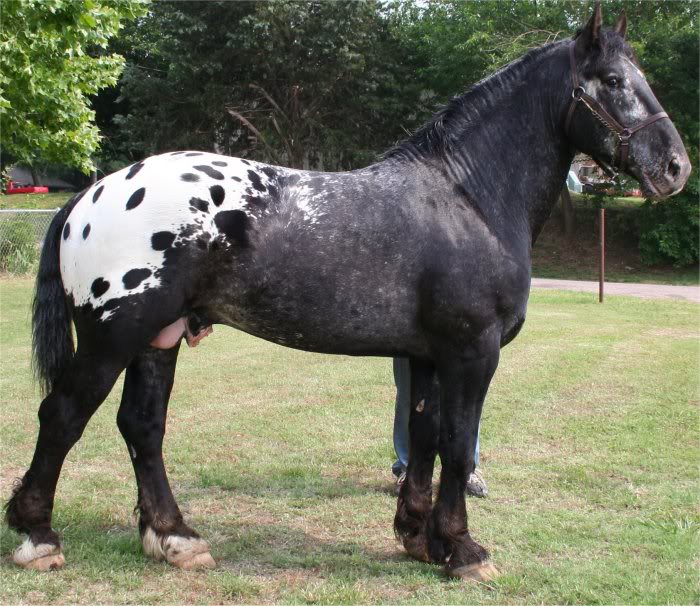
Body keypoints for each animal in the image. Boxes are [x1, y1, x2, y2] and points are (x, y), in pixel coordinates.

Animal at [5, 4, 688, 580]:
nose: (675, 166)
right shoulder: (473, 352)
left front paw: (418, 537)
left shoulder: (427, 357)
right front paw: (462, 550)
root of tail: (91, 194)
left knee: (142, 426)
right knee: (62, 417)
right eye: (612, 80)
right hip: (112, 338)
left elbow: (425, 438)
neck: (468, 198)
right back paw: (38, 537)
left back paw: (175, 538)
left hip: (159, 338)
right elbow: (458, 446)